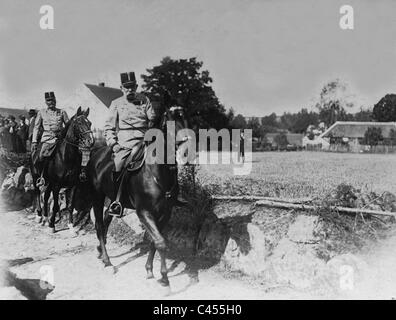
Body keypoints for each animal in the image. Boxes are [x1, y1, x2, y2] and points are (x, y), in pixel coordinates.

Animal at [31, 106, 94, 234]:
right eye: (79, 123)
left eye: (89, 123)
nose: (90, 141)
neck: (66, 158)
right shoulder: (56, 185)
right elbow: (55, 206)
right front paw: (52, 226)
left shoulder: (74, 185)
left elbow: (70, 205)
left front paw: (71, 226)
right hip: (36, 178)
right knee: (37, 193)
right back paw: (39, 216)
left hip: (49, 183)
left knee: (45, 196)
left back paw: (46, 217)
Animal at [86, 106, 188, 286]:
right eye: (170, 122)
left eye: (185, 119)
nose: (185, 150)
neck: (156, 172)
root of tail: (97, 154)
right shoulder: (144, 212)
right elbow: (160, 242)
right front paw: (164, 277)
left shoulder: (165, 213)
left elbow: (155, 241)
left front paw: (149, 269)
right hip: (97, 197)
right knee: (99, 224)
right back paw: (107, 261)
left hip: (112, 199)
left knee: (106, 219)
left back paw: (100, 250)